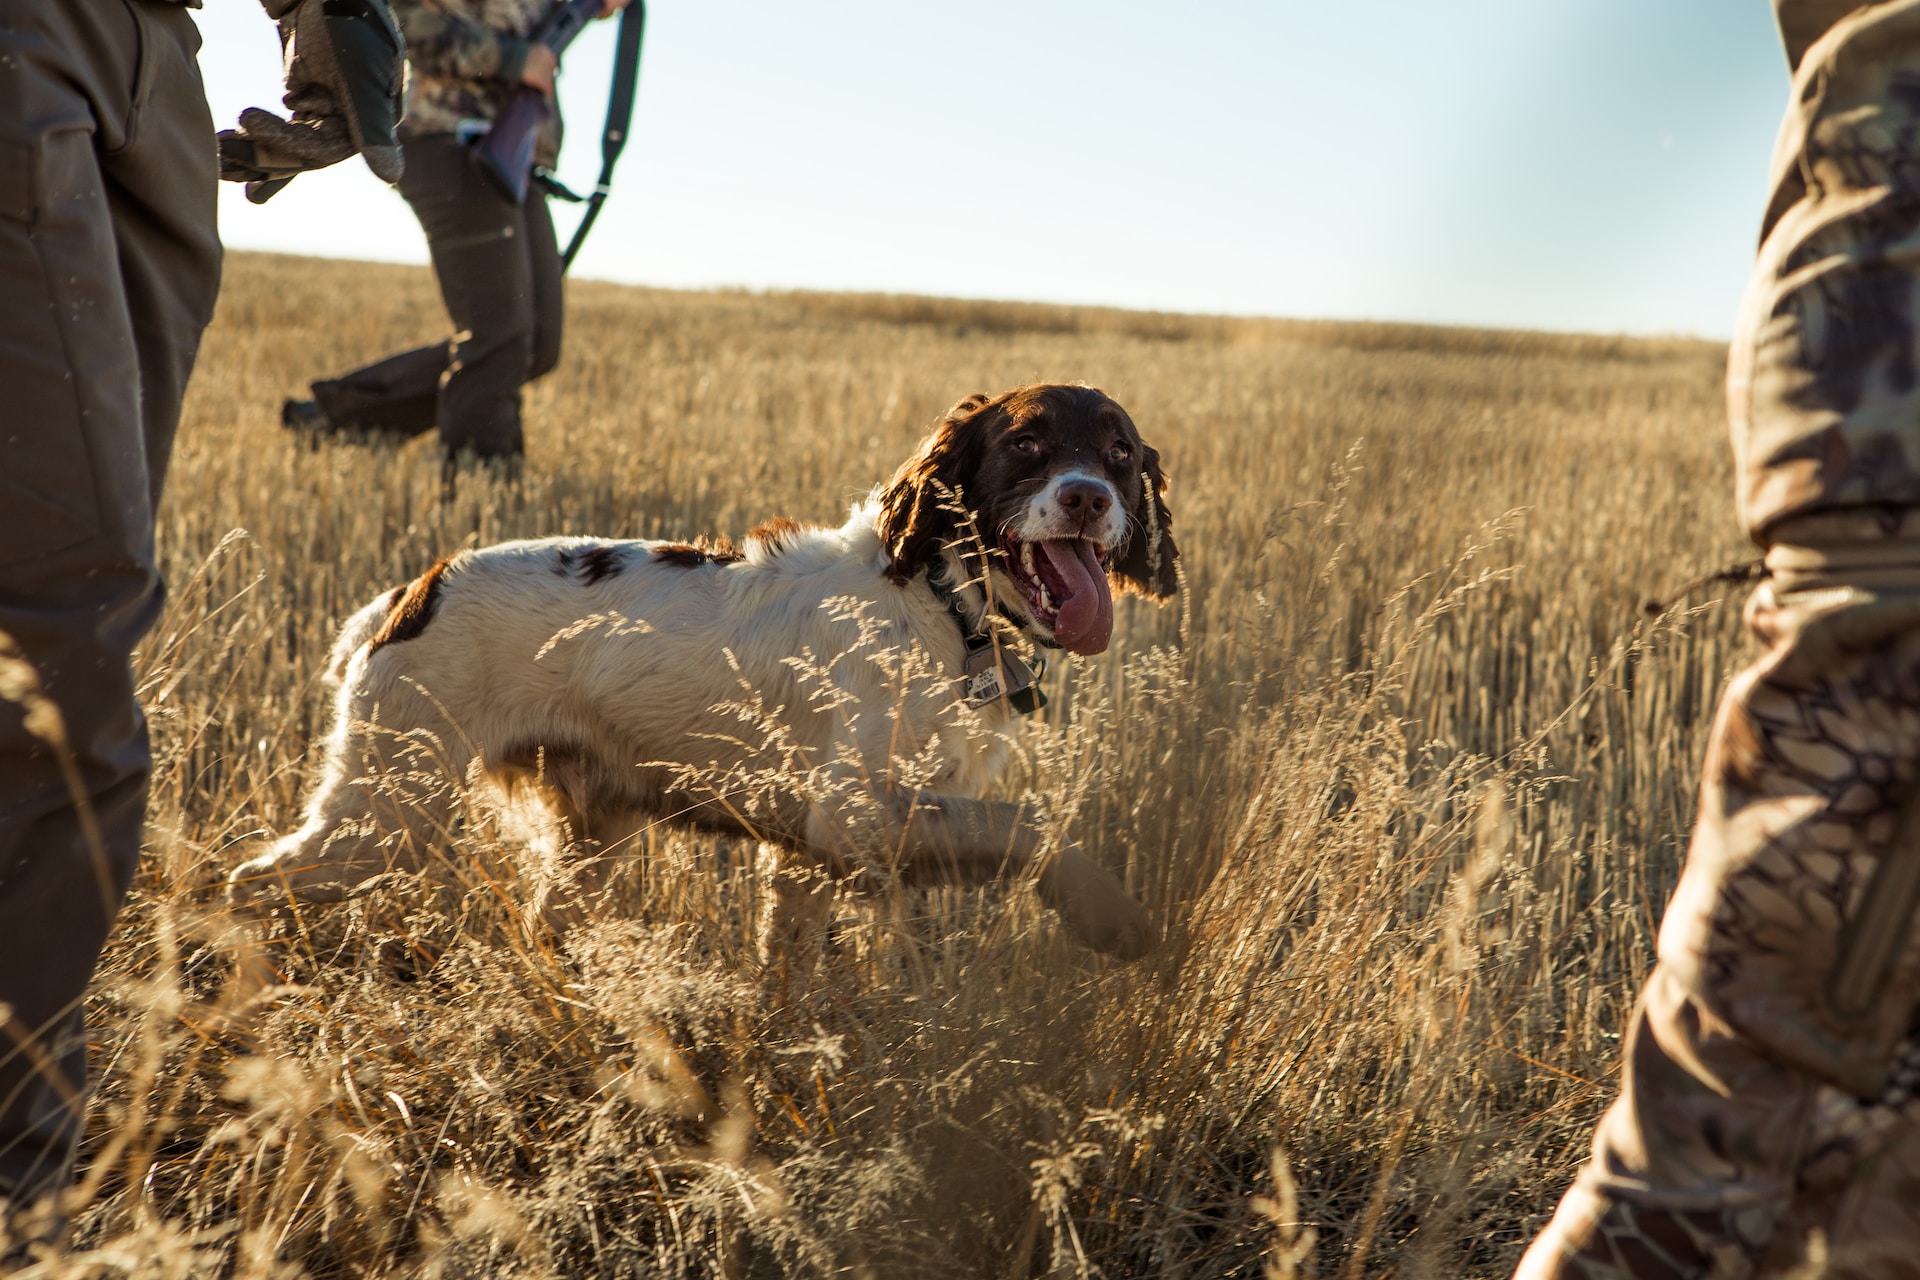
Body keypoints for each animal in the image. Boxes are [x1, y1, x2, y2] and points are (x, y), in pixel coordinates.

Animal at [232, 385, 1175, 967]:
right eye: (1026, 443)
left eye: (1120, 452)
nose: (1088, 497)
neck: (944, 607)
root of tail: (410, 593)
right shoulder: (848, 813)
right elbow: (1029, 825)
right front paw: (1111, 916)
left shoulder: (811, 854)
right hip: (384, 813)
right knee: (249, 882)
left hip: (585, 831)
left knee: (544, 923)